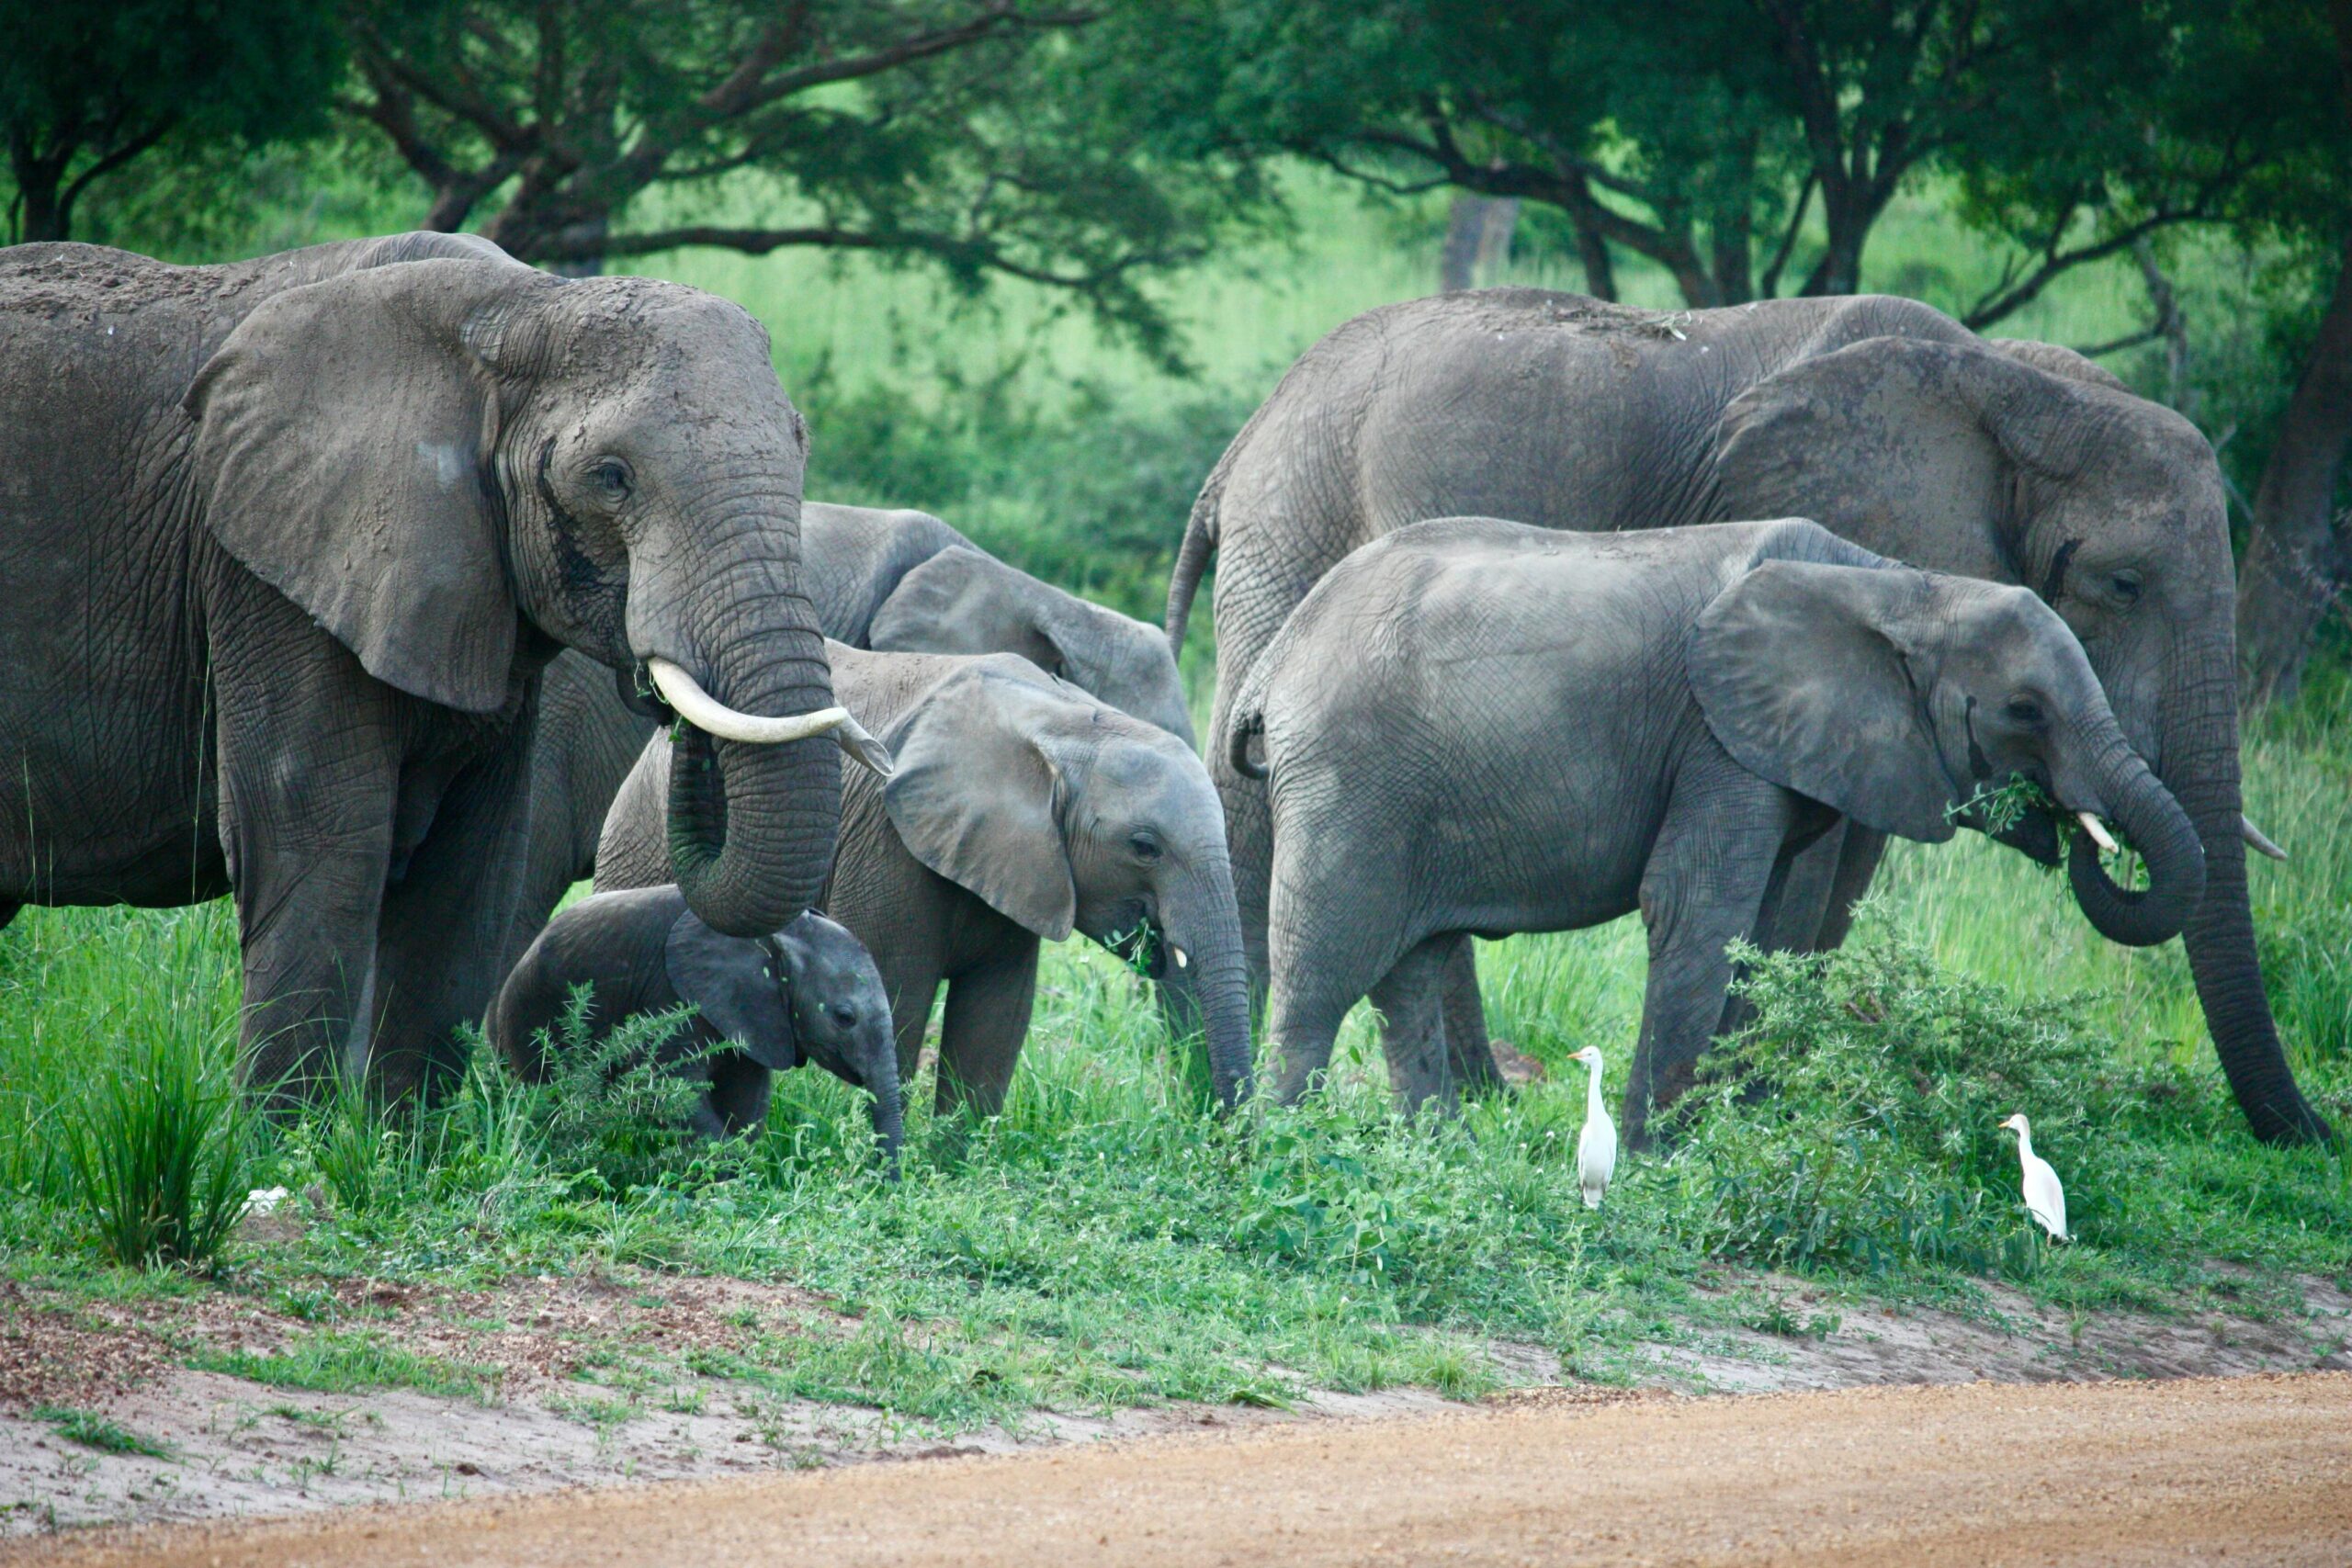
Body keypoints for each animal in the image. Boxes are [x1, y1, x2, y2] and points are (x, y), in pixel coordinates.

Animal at [0, 233, 868, 1105]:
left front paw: (401, 1137)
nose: (666, 697)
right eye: (611, 476)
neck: (520, 307)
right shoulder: (269, 578)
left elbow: (468, 875)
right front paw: (286, 1141)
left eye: (800, 448)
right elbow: (320, 851)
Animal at [488, 886, 902, 1160]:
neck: (785, 933)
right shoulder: (672, 994)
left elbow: (747, 1096)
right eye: (844, 1018)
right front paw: (731, 1172)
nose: (884, 1185)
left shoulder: (757, 1013)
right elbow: (667, 1088)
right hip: (529, 1015)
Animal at [597, 644, 1253, 1118]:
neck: (1069, 726)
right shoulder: (891, 845)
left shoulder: (1025, 868)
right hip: (640, 836)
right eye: (1144, 848)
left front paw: (951, 1171)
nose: (1229, 1145)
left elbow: (995, 1020)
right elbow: (896, 999)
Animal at [1231, 518, 2203, 1145]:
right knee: (1325, 964)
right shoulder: (1719, 736)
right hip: (1347, 775)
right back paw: (1277, 1144)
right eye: (2024, 710)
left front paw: (1708, 1139)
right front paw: (1656, 1156)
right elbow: (1696, 909)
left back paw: (1439, 1151)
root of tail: (1275, 659)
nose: (2069, 827)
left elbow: (1764, 933)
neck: (1901, 584)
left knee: (1408, 968)